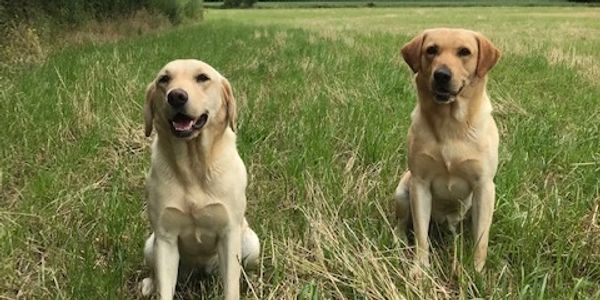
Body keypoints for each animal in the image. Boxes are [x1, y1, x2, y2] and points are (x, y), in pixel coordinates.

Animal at [142, 59, 262, 300]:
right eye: (164, 79)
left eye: (202, 78)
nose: (176, 96)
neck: (193, 165)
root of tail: (200, 271)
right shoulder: (166, 238)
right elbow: (165, 289)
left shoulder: (229, 233)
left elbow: (231, 288)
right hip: (151, 245)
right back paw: (150, 284)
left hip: (252, 243)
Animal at [394, 28, 502, 274]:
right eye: (431, 50)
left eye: (464, 52)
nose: (442, 75)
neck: (450, 124)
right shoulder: (420, 185)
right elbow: (421, 235)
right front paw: (420, 269)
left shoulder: (484, 186)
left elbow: (482, 239)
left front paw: (477, 272)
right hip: (402, 192)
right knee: (401, 224)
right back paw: (399, 240)